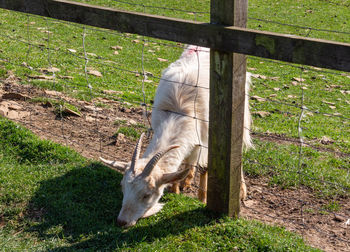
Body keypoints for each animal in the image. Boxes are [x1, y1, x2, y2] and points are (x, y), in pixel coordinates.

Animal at [100, 44, 252, 227]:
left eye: (147, 195)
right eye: (122, 187)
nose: (122, 221)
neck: (178, 112)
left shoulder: (208, 138)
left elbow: (205, 168)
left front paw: (202, 198)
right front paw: (175, 188)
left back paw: (241, 190)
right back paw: (187, 179)